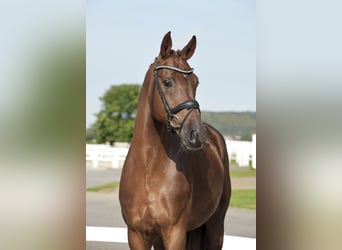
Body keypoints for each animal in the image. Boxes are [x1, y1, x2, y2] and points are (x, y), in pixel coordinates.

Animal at [119, 32, 231, 249]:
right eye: (167, 82)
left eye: (196, 82)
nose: (197, 134)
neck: (148, 169)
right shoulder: (136, 235)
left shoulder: (175, 233)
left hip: (216, 226)